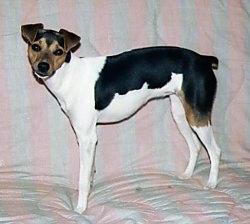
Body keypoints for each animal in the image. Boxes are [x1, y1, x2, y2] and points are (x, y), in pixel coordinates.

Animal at [21, 23, 221, 214]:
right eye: (36, 46)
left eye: (59, 51)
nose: (43, 66)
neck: (68, 76)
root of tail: (204, 59)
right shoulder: (90, 138)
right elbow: (90, 171)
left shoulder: (86, 138)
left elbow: (83, 178)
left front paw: (80, 208)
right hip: (181, 115)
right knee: (195, 146)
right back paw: (187, 175)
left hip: (197, 116)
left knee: (215, 150)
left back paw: (211, 183)